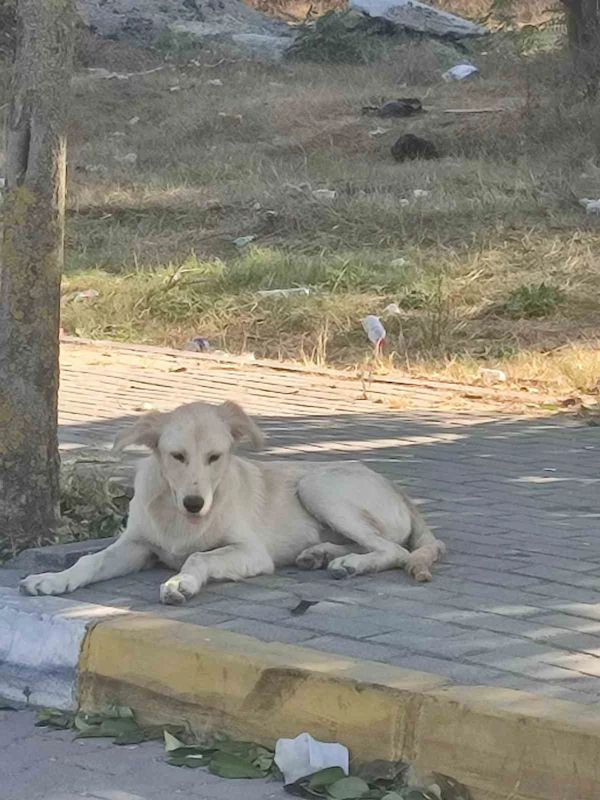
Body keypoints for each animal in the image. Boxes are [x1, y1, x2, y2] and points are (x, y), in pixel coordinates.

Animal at [21, 404, 446, 604]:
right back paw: (321, 554)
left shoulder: (251, 552)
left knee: (392, 549)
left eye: (215, 457)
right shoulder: (137, 546)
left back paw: (351, 564)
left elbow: (200, 557)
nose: (194, 503)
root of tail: (401, 493)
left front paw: (181, 582)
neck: (178, 519)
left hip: (317, 484)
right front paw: (53, 579)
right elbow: (88, 561)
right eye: (177, 457)